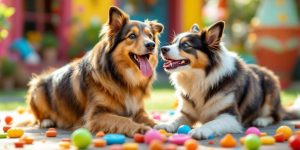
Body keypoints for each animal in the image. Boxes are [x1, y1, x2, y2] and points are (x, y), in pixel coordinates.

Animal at [26, 6, 164, 137]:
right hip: (37, 89)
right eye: (132, 36)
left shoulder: (138, 110)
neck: (123, 78)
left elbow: (150, 120)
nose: (151, 45)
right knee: (38, 117)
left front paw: (162, 124)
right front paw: (140, 128)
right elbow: (123, 120)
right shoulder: (95, 115)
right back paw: (46, 121)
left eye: (150, 36)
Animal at [156, 20, 290, 139]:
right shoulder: (187, 113)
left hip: (270, 87)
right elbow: (176, 118)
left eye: (185, 45)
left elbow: (213, 122)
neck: (199, 78)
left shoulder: (230, 116)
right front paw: (165, 124)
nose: (162, 48)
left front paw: (201, 130)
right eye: (173, 43)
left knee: (276, 116)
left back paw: (261, 120)